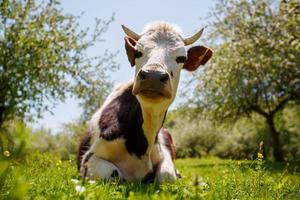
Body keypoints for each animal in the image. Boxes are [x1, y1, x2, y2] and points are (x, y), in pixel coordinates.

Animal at [77, 21, 213, 183]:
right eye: (138, 52)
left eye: (181, 58)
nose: (153, 75)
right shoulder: (88, 159)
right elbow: (112, 173)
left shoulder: (164, 152)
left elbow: (167, 175)